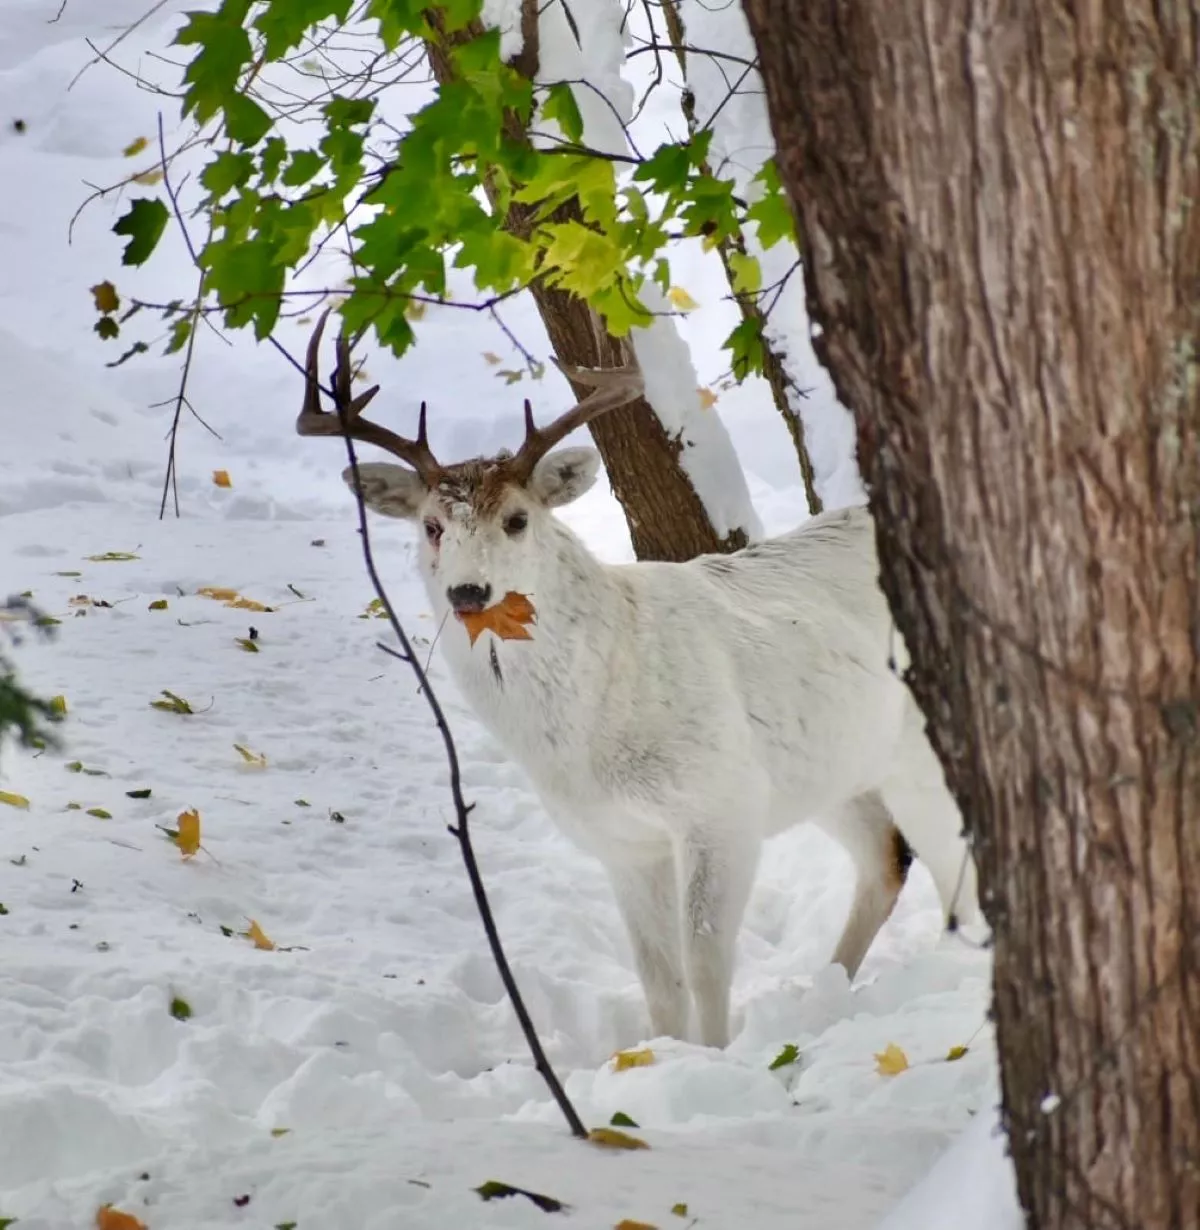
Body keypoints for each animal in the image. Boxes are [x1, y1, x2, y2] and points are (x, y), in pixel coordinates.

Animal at [297, 310, 982, 1049]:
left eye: (518, 519)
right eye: (430, 526)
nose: (468, 592)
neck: (594, 725)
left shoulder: (721, 802)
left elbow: (705, 958)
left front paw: (714, 1056)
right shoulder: (622, 841)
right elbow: (658, 976)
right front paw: (663, 1052)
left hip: (915, 759)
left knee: (958, 877)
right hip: (833, 769)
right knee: (886, 859)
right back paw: (829, 990)